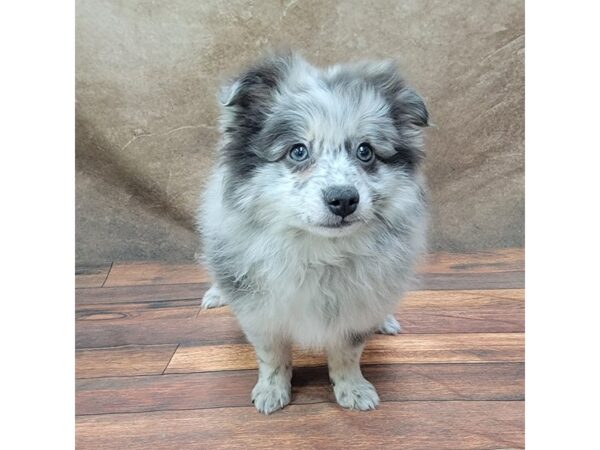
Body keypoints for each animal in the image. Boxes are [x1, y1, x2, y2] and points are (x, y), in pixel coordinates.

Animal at [199, 51, 428, 414]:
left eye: (365, 151)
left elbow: (347, 354)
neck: (320, 251)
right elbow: (272, 356)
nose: (344, 199)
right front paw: (271, 391)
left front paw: (353, 389)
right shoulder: (261, 312)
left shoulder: (355, 313)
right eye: (298, 151)